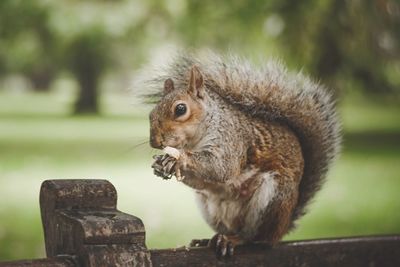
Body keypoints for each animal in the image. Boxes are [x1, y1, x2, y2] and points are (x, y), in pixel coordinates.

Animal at [146, 52, 340, 258]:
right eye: (151, 113)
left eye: (180, 109)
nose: (155, 142)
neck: (194, 141)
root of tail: (284, 226)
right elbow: (202, 181)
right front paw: (161, 164)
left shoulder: (232, 140)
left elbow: (222, 167)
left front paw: (179, 158)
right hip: (209, 206)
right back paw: (211, 239)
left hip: (273, 198)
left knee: (256, 238)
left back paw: (235, 240)